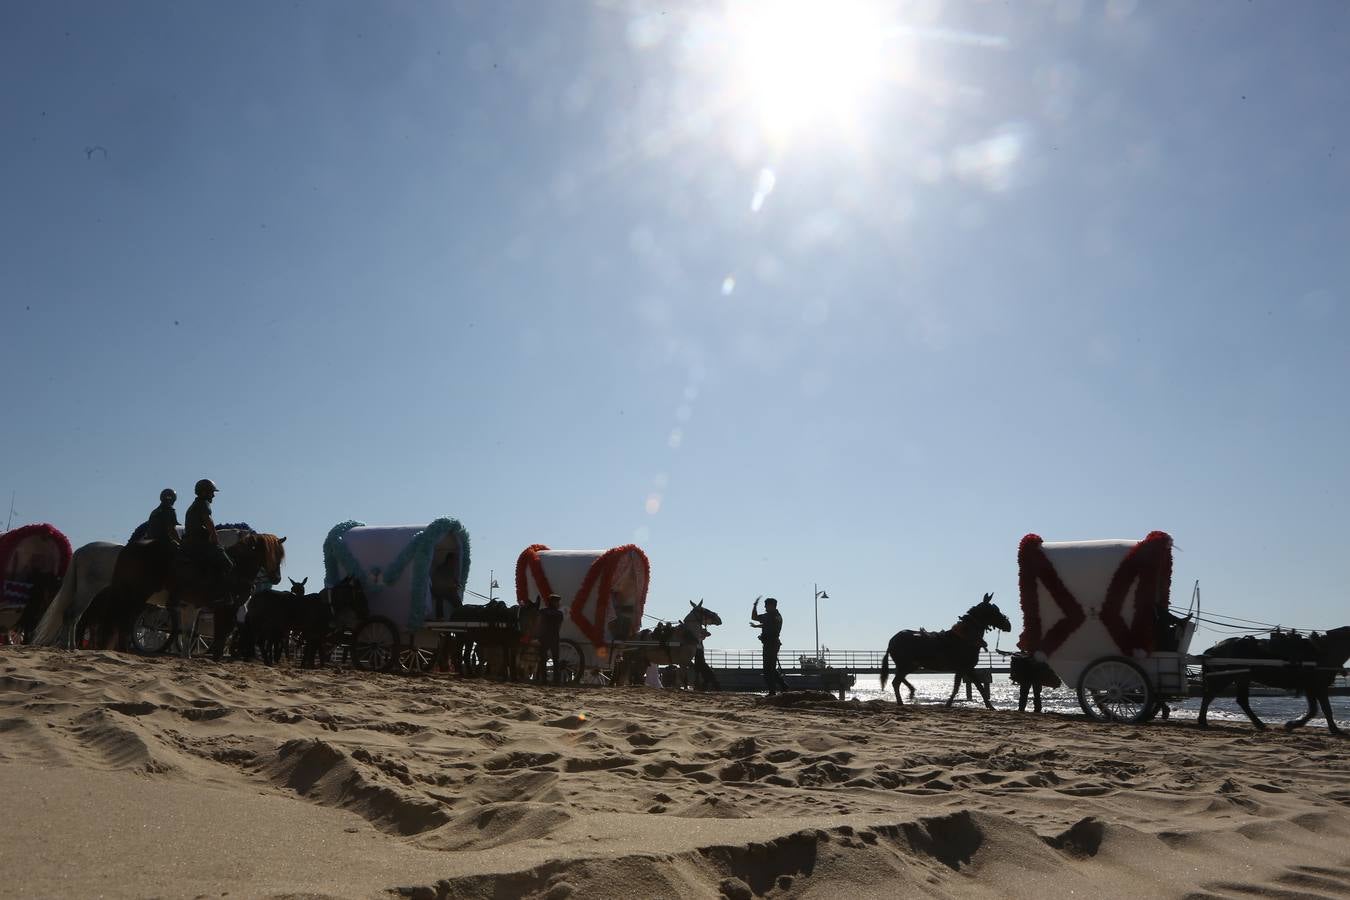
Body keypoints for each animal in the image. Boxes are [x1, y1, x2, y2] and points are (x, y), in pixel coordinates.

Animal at [77, 534, 283, 655]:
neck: (236, 568)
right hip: (135, 595)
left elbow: (191, 632)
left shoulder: (194, 606)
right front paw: (211, 654)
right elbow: (221, 630)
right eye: (274, 554)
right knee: (123, 620)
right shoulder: (224, 606)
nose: (277, 578)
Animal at [880, 591, 1009, 712]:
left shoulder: (964, 669)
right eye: (994, 610)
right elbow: (969, 687)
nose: (1008, 625)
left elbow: (968, 687)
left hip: (910, 665)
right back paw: (901, 701)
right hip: (906, 665)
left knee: (899, 680)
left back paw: (911, 692)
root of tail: (892, 640)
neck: (965, 638)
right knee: (896, 682)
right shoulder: (966, 668)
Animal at [1204, 623, 1350, 734]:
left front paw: (1293, 724)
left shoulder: (1311, 687)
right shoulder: (1317, 686)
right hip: (1226, 677)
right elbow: (1324, 709)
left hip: (1242, 677)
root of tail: (1214, 648)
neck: (1323, 651)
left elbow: (1314, 710)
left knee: (1241, 701)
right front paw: (1334, 729)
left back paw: (1259, 724)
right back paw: (1202, 721)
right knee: (1210, 695)